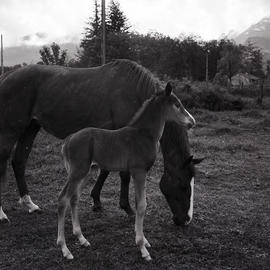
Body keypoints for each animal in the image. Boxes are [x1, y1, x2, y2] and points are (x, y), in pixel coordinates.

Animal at [0, 60, 195, 225]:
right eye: (183, 186)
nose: (185, 220)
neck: (134, 91)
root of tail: (7, 75)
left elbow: (105, 169)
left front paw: (96, 201)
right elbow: (123, 174)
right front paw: (127, 209)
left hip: (31, 127)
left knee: (19, 161)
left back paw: (30, 204)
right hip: (10, 130)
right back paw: (2, 214)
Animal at [57, 83, 196, 260]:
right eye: (177, 105)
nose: (192, 121)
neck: (144, 134)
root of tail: (68, 139)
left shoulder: (138, 172)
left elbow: (139, 203)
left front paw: (144, 241)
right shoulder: (139, 171)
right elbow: (141, 205)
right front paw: (143, 249)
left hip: (86, 172)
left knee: (74, 198)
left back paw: (82, 238)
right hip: (77, 172)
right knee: (63, 199)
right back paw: (64, 249)